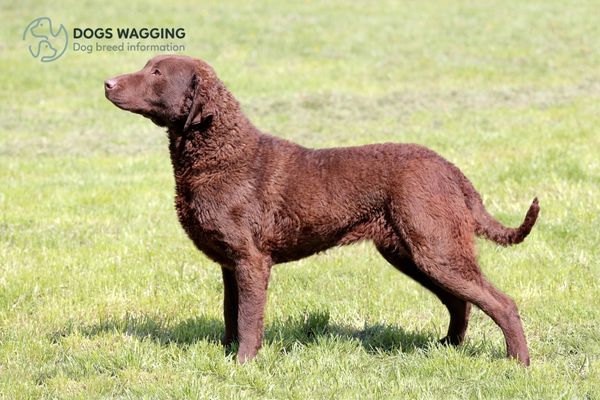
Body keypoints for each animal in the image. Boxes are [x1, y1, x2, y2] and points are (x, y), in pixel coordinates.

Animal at [105, 55, 540, 366]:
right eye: (146, 65)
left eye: (156, 72)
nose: (107, 82)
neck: (221, 155)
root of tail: (451, 169)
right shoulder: (230, 263)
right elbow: (230, 313)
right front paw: (225, 355)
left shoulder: (251, 260)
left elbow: (248, 319)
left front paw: (243, 364)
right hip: (412, 252)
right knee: (460, 302)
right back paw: (445, 347)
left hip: (435, 248)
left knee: (500, 302)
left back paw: (517, 362)